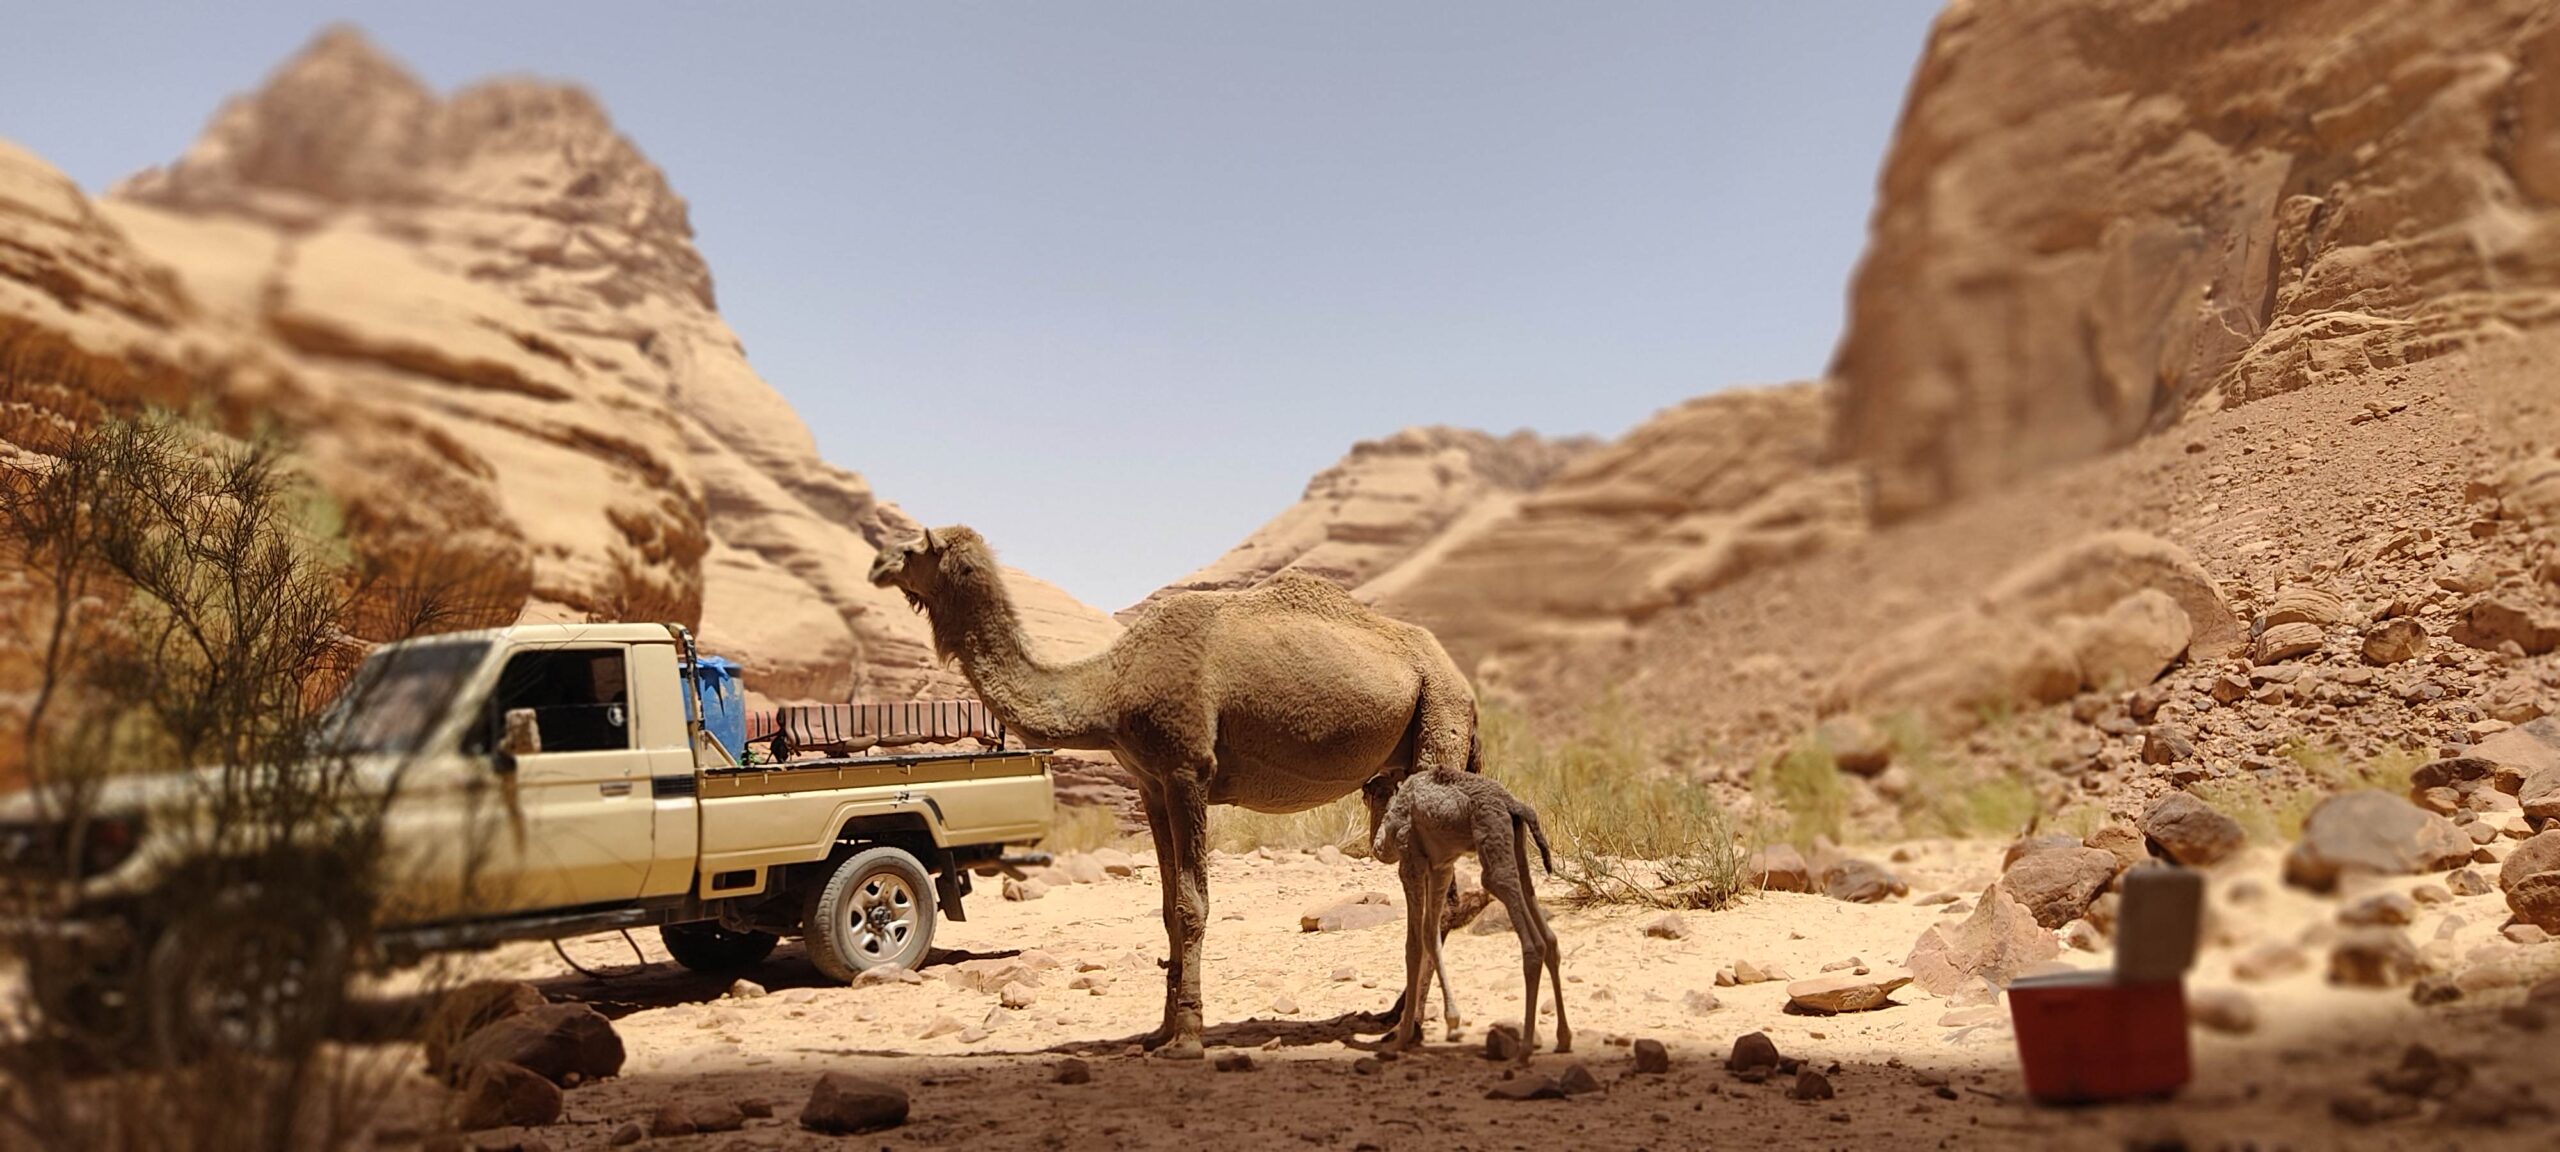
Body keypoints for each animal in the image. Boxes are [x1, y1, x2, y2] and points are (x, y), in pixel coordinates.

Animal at [875, 527, 1484, 1059]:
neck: (1112, 687)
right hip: (1398, 763)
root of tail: (1462, 683)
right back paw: (1395, 1014)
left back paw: (1410, 1026)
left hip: (1438, 719)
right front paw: (1158, 1034)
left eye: (913, 548)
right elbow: (1168, 907)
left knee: (1429, 883)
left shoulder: (1188, 770)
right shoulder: (1151, 783)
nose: (877, 564)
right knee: (1430, 886)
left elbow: (1193, 905)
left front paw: (1188, 1038)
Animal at [1372, 768, 1566, 1059]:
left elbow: (1414, 944)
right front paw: (1452, 1020)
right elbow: (1430, 934)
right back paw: (1563, 1039)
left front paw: (1400, 1039)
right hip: (1514, 845)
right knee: (1549, 936)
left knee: (1533, 943)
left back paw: (1524, 1049)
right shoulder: (1441, 866)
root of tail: (1514, 805)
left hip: (1492, 845)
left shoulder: (1411, 861)